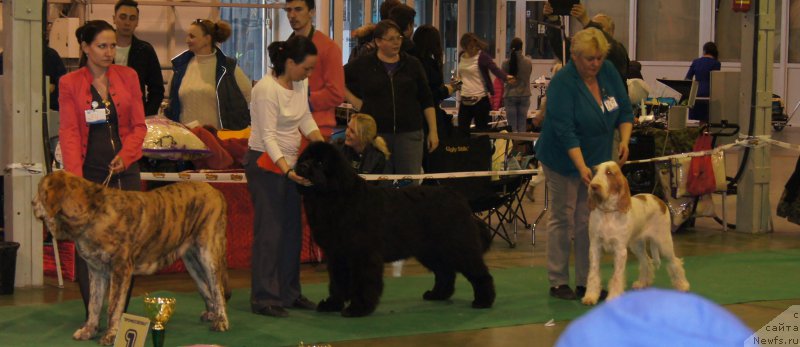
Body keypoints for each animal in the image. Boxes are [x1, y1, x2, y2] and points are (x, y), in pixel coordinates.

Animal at [33, 171, 230, 346]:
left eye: (40, 190)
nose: (32, 202)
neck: (91, 212)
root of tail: (216, 191)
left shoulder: (120, 269)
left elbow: (113, 307)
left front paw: (110, 336)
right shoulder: (96, 270)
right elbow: (94, 304)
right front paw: (88, 331)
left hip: (208, 252)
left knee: (217, 288)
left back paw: (221, 321)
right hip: (191, 260)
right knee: (206, 287)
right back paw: (211, 314)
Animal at [294, 142, 494, 318]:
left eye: (320, 162)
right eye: (306, 158)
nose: (302, 166)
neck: (335, 197)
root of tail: (458, 196)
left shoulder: (363, 254)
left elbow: (362, 282)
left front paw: (358, 309)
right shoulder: (336, 254)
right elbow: (337, 282)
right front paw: (332, 304)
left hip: (458, 245)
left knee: (478, 272)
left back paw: (484, 301)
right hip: (431, 250)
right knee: (445, 271)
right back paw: (438, 294)